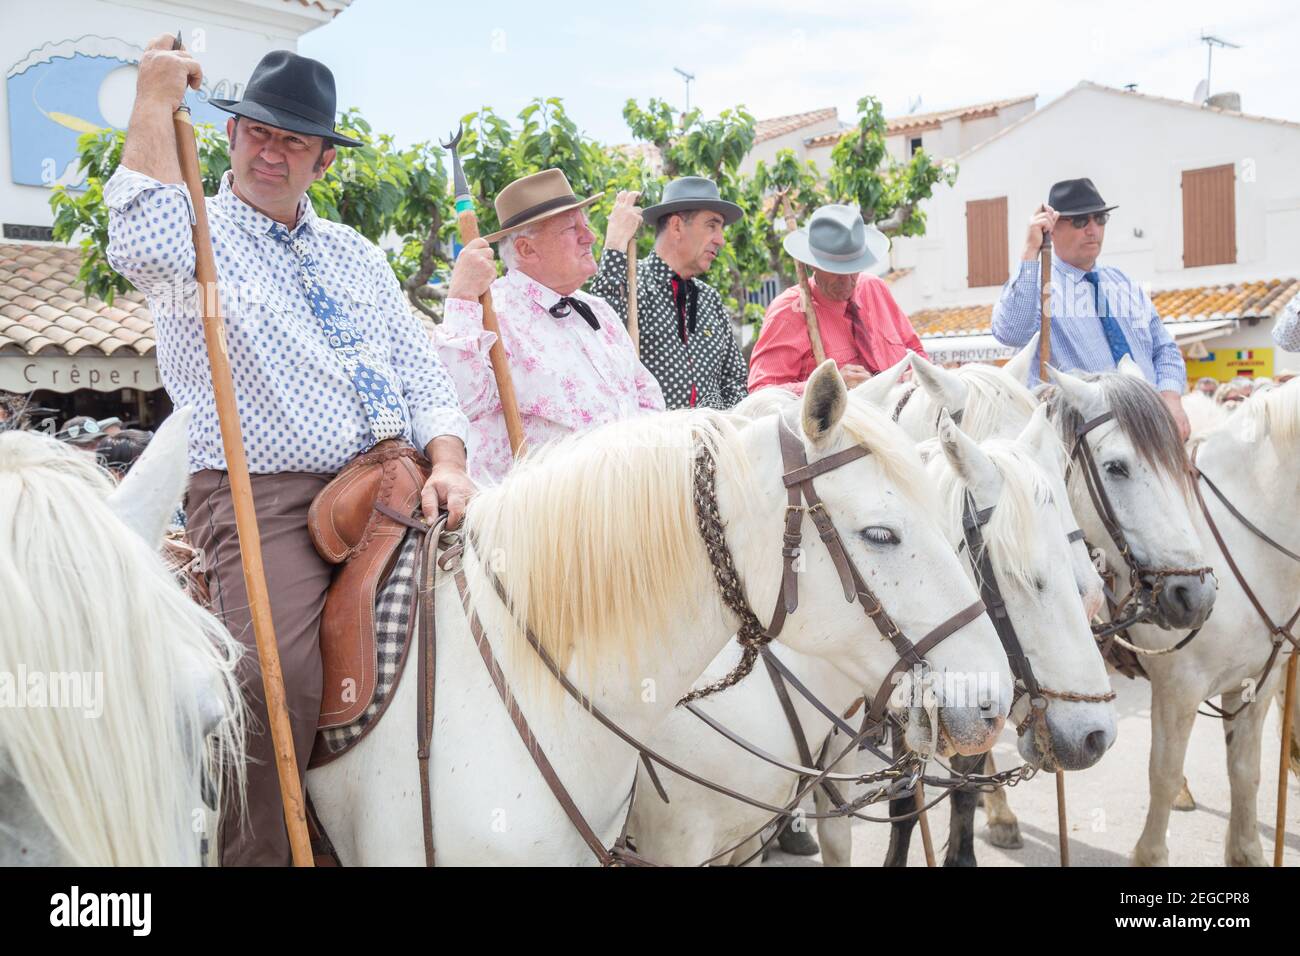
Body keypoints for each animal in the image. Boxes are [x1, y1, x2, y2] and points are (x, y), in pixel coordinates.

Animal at [1128, 382, 1300, 868]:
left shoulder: (1257, 681)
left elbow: (1246, 772)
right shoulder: (1179, 687)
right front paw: (1150, 855)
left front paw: (1246, 853)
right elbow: (1163, 775)